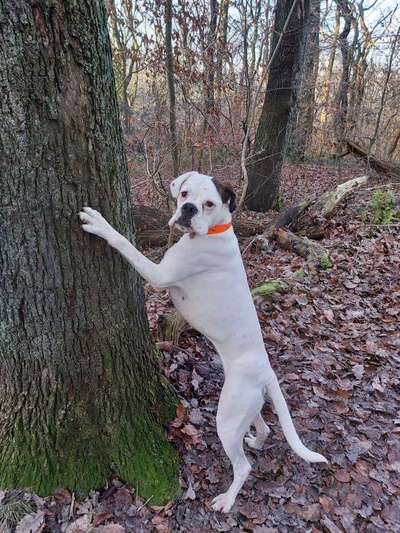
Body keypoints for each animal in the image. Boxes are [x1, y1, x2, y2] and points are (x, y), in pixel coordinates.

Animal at [79, 170, 328, 512]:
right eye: (185, 194)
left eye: (208, 203)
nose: (188, 210)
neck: (215, 230)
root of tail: (266, 371)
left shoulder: (157, 274)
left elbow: (124, 242)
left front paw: (99, 223)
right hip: (248, 406)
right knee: (264, 427)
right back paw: (256, 440)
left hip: (228, 416)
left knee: (244, 466)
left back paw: (227, 500)